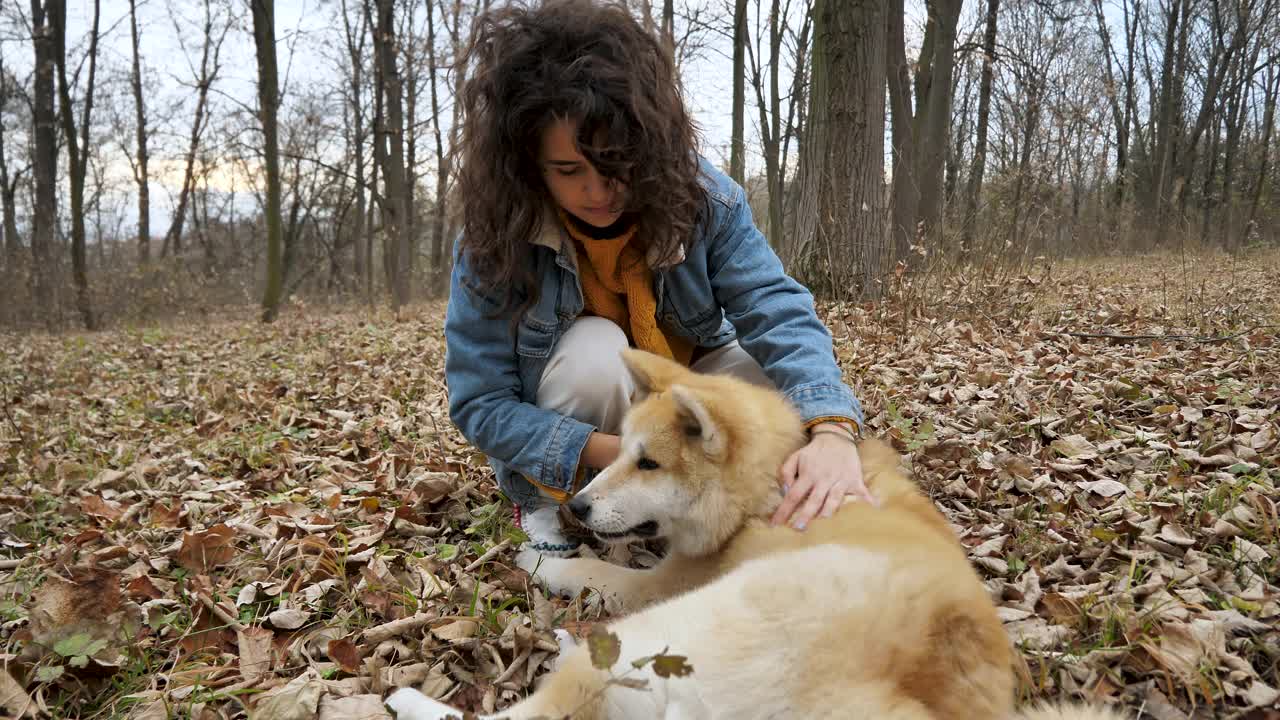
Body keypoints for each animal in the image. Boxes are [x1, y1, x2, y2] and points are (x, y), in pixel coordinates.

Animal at [386, 348, 1121, 717]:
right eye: (620, 451)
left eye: (648, 463)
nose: (580, 509)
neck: (765, 489)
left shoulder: (662, 582)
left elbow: (593, 570)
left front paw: (541, 560)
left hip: (673, 634)